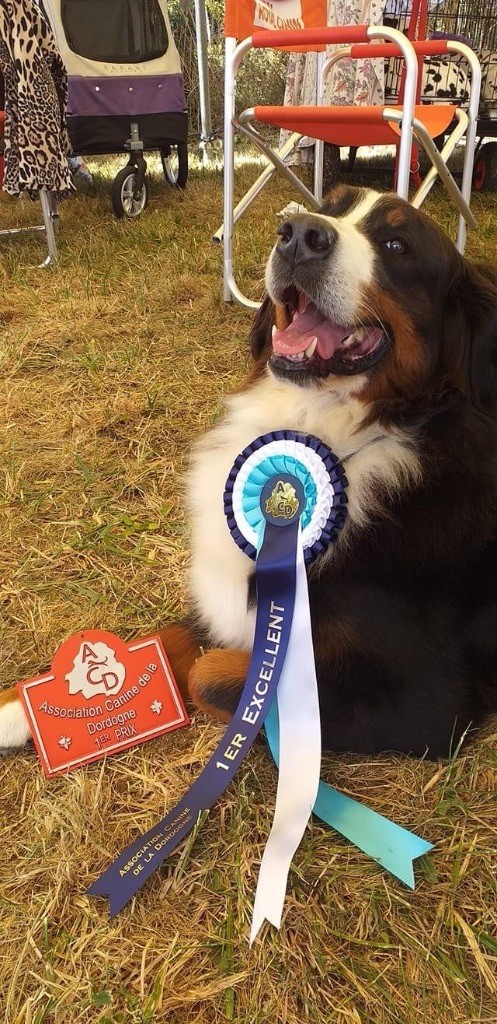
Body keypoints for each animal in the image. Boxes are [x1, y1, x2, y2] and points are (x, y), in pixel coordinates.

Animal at [0, 186, 495, 761]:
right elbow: (170, 637)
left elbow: (211, 674)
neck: (335, 431)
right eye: (326, 206)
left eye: (397, 244)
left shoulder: (420, 697)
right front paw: (22, 707)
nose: (299, 235)